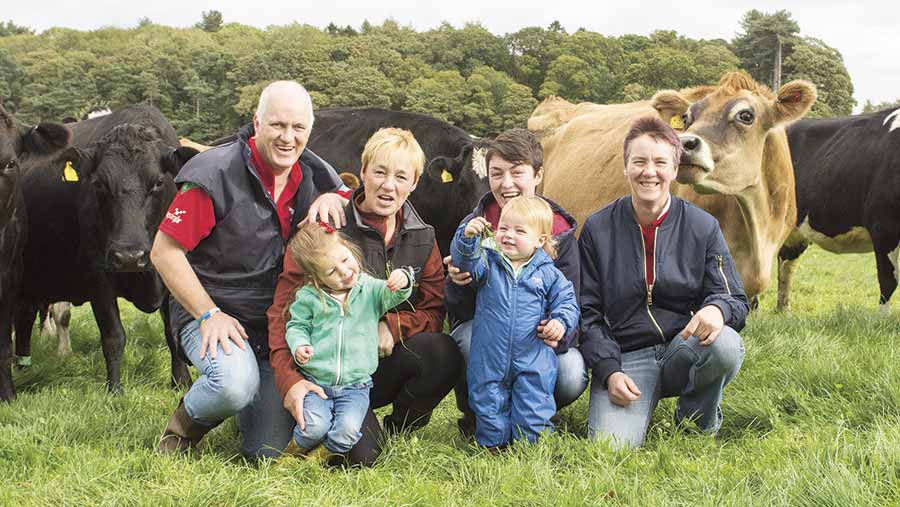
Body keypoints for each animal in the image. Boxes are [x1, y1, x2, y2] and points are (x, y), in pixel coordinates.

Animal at [14, 104, 198, 396]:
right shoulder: (97, 275)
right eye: (99, 183)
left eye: (158, 182)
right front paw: (114, 390)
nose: (130, 257)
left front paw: (181, 382)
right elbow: (113, 335)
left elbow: (172, 332)